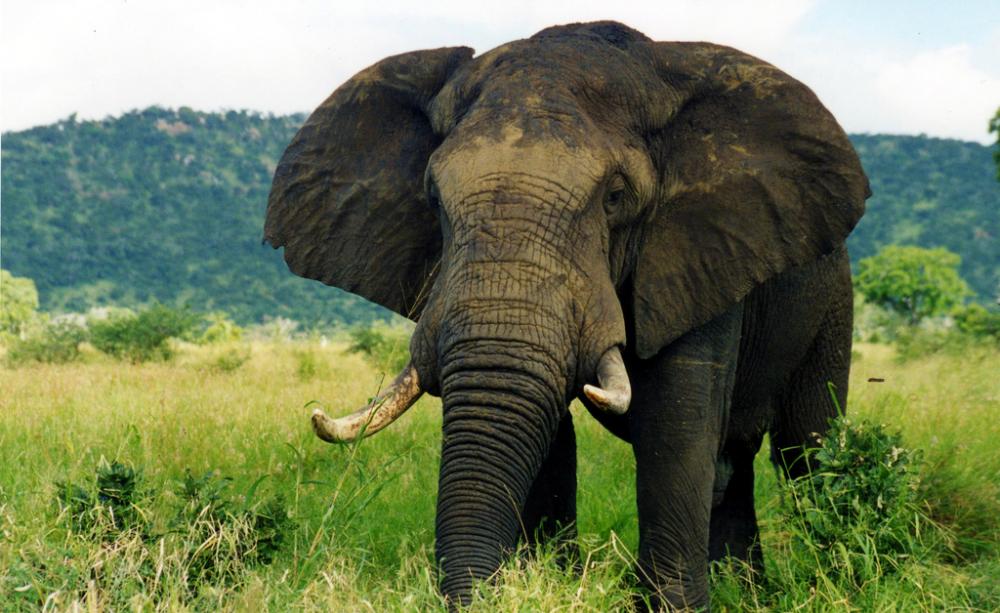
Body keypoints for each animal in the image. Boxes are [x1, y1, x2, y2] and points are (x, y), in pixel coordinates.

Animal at [264, 21, 869, 610]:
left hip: (833, 300)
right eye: (433, 198)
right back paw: (747, 592)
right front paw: (547, 583)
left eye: (615, 197)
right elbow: (545, 430)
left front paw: (667, 606)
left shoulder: (700, 248)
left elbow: (676, 422)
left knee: (806, 447)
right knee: (735, 467)